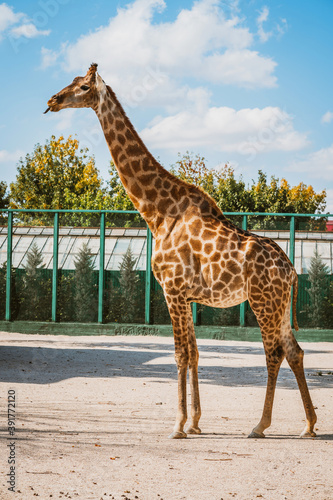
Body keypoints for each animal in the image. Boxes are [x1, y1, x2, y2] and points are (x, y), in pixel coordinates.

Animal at [45, 64, 316, 440]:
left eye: (83, 87)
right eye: (71, 81)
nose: (52, 100)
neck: (159, 213)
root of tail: (290, 270)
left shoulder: (171, 290)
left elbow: (180, 355)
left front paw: (177, 425)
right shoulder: (186, 296)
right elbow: (196, 353)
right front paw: (196, 422)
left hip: (263, 301)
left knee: (273, 354)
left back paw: (260, 425)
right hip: (279, 306)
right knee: (296, 351)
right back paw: (309, 425)